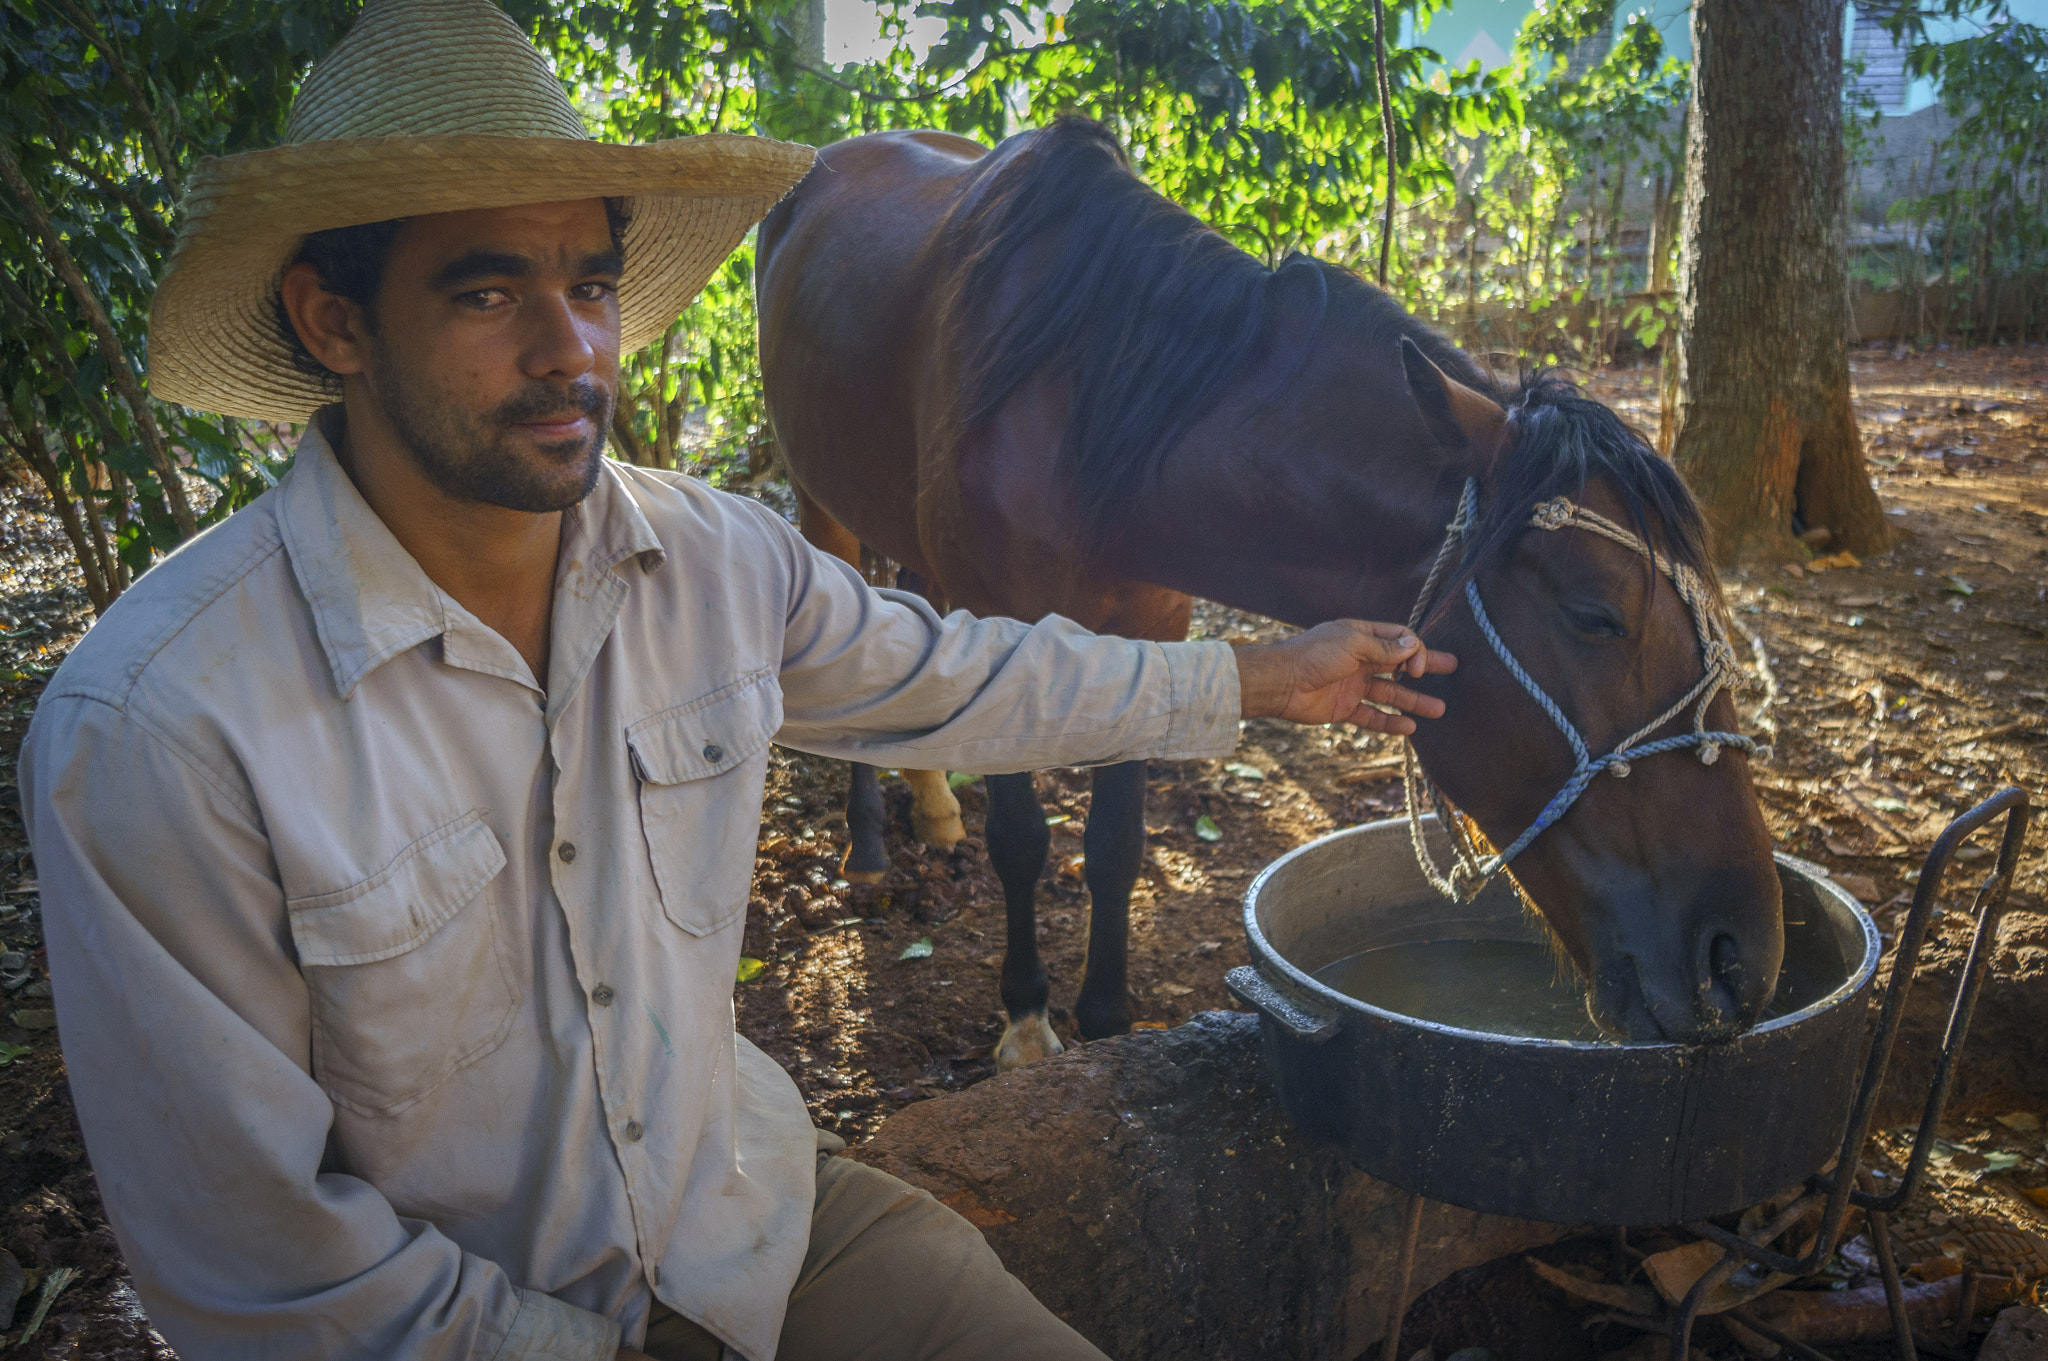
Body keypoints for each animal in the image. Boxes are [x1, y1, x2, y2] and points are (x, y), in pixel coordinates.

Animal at [761, 116, 1785, 1064]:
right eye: (1595, 615)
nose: (1738, 955)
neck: (1090, 414)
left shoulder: (1152, 628)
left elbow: (1116, 844)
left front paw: (1107, 1017)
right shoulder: (1003, 618)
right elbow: (1023, 837)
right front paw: (1027, 1020)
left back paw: (933, 806)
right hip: (819, 500)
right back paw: (872, 844)